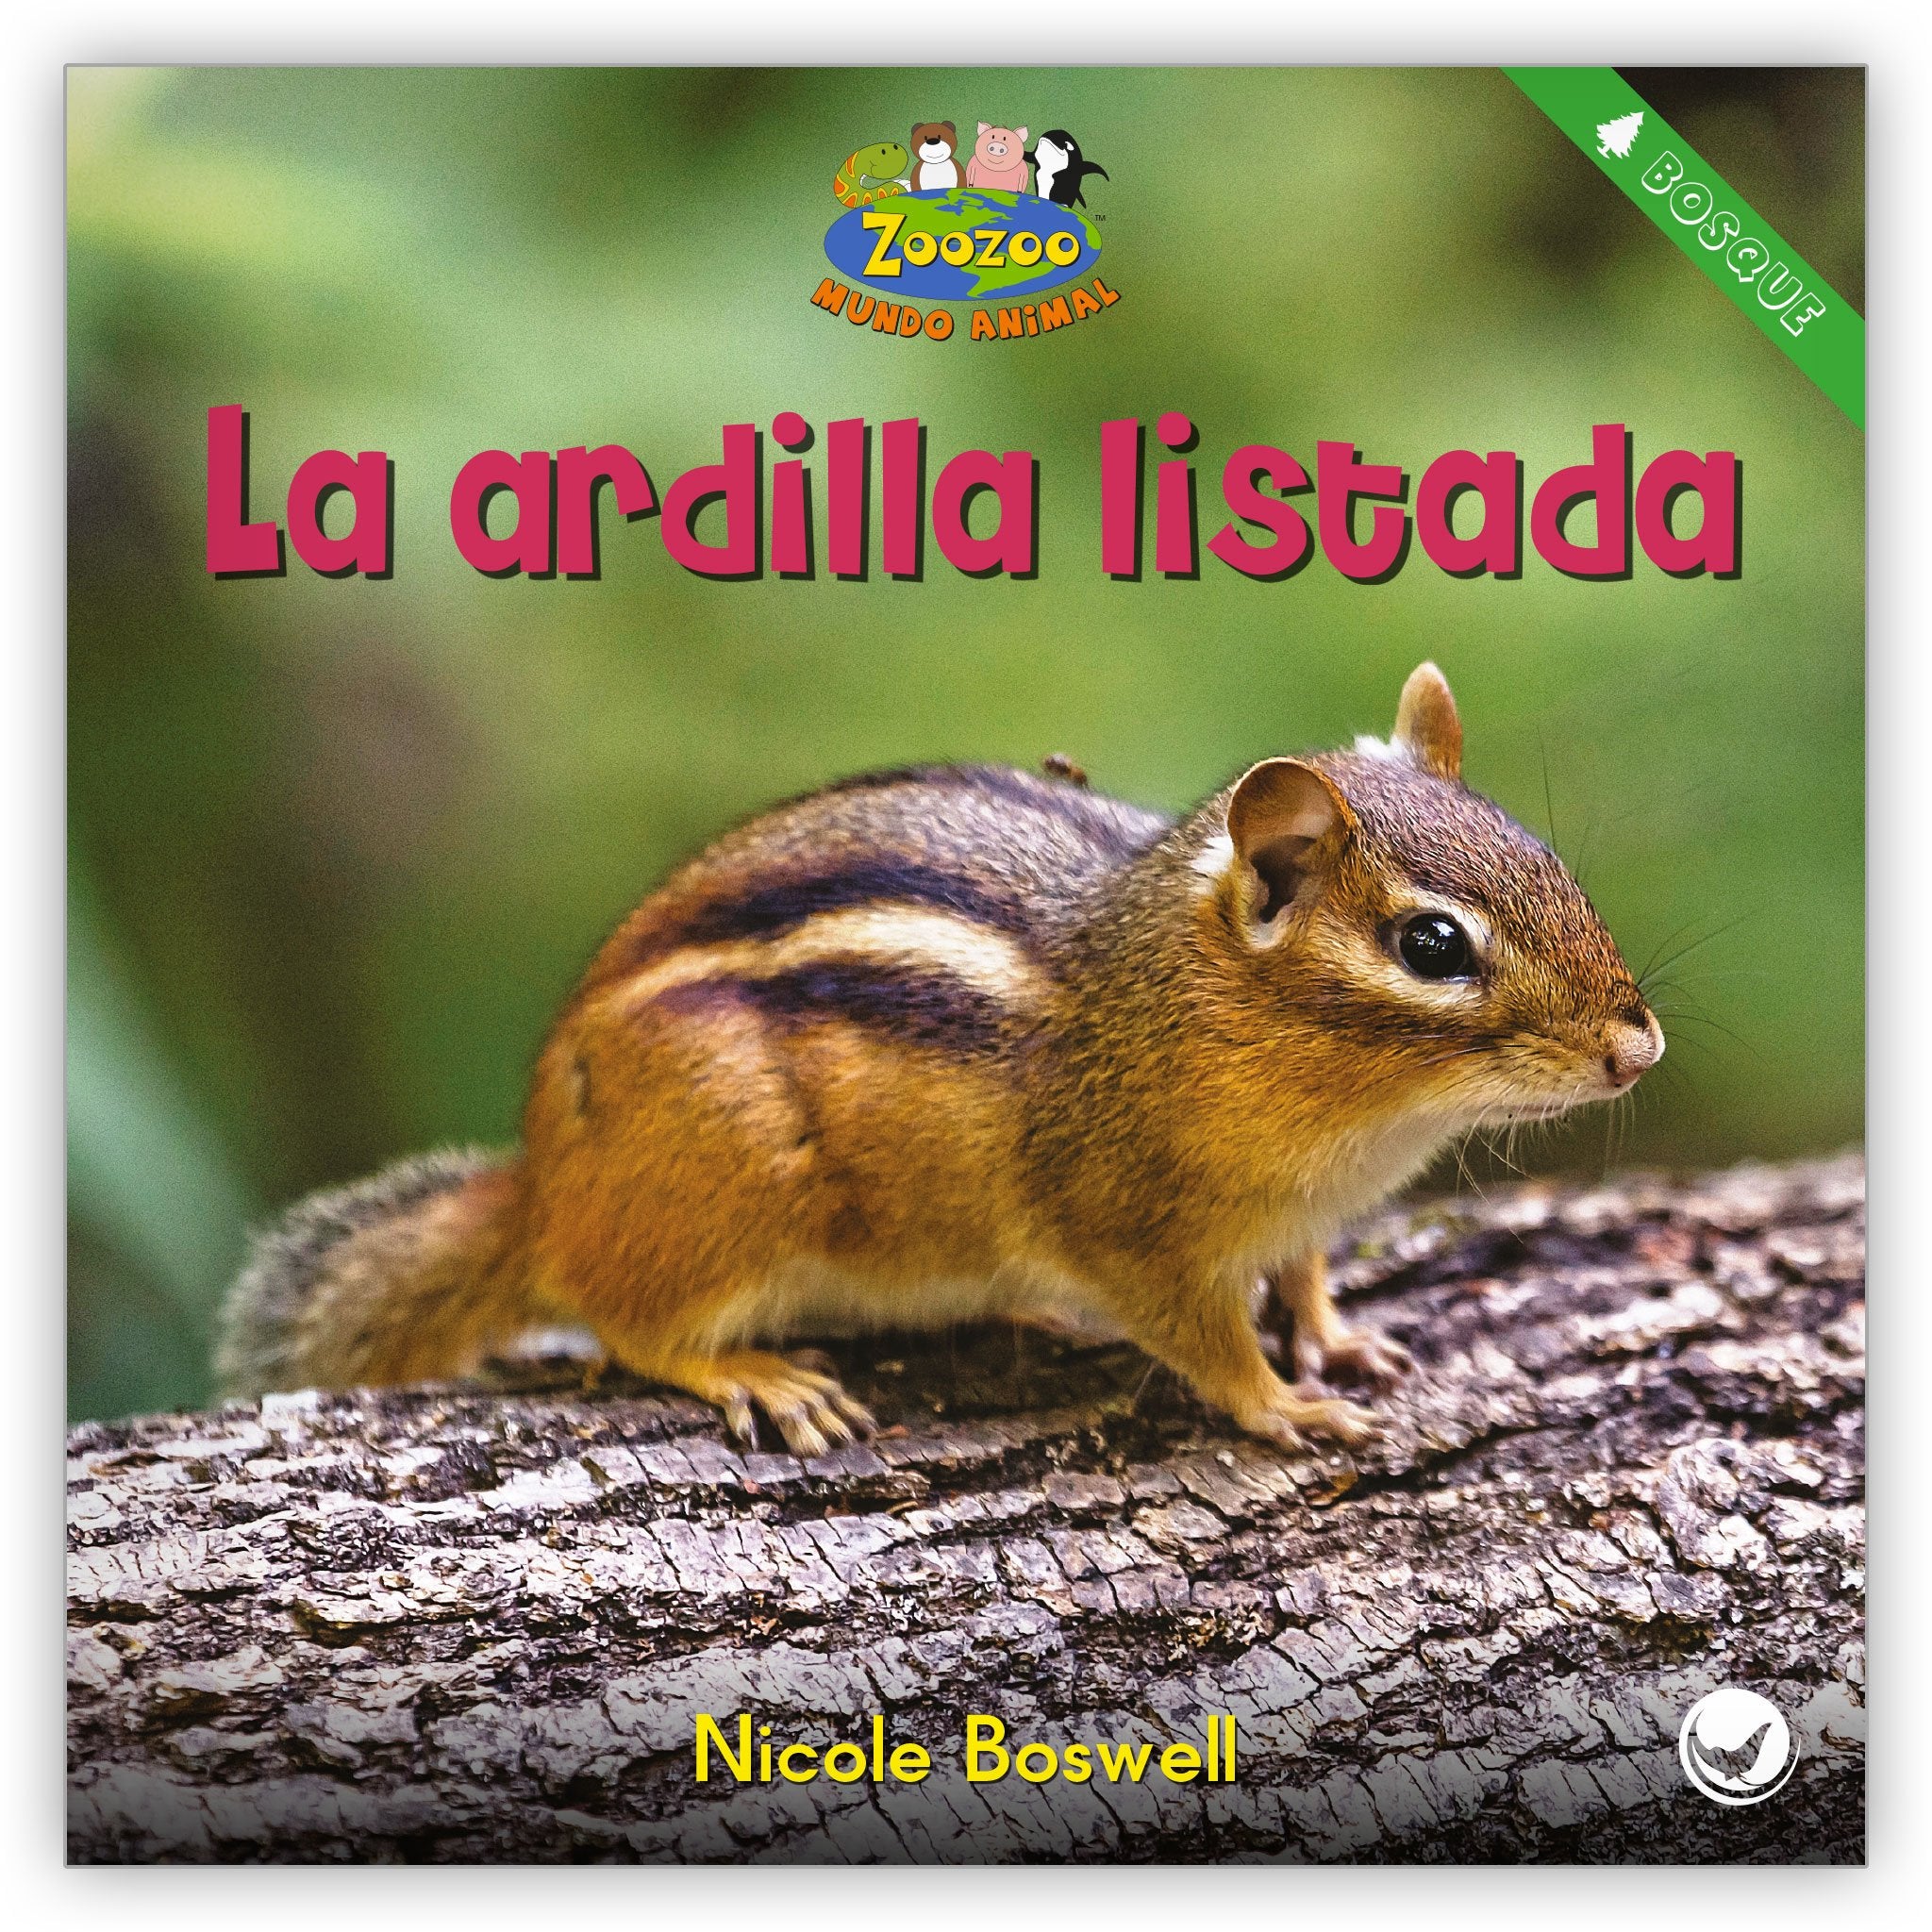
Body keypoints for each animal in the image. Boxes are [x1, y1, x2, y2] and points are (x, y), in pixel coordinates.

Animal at [218, 664, 1662, 1456]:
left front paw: (1336, 1336)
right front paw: (1280, 1406)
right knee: (626, 1316)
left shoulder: (1306, 1212)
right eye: (1432, 943)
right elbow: (1202, 1340)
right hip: (726, 1168)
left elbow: (1302, 1273)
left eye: (1548, 861)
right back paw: (756, 1373)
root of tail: (542, 1178)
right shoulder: (1129, 1224)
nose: (1637, 1045)